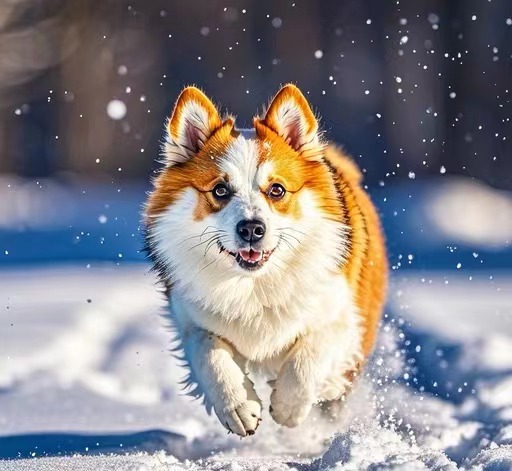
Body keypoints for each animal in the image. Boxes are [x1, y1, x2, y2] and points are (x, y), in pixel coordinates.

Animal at [142, 85, 386, 438]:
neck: (254, 282)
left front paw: (288, 406)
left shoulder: (340, 316)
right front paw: (239, 407)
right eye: (220, 190)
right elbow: (207, 352)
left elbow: (310, 354)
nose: (251, 229)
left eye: (277, 190)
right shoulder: (190, 319)